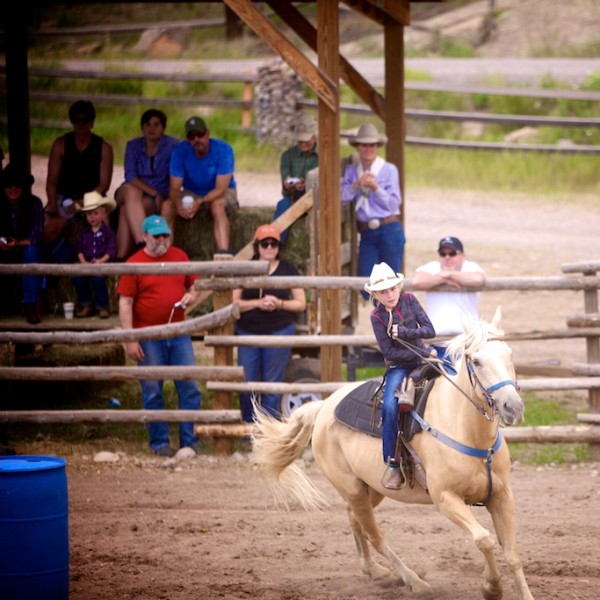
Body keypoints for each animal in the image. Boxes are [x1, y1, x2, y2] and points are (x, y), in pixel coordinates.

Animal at [251, 307, 536, 600]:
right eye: (476, 361)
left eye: (510, 354)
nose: (512, 406)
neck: (467, 431)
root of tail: (323, 407)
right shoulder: (446, 498)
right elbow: (484, 539)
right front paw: (491, 587)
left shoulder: (502, 496)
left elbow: (512, 555)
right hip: (352, 487)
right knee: (375, 535)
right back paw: (414, 581)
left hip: (371, 488)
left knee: (356, 520)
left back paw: (373, 570)